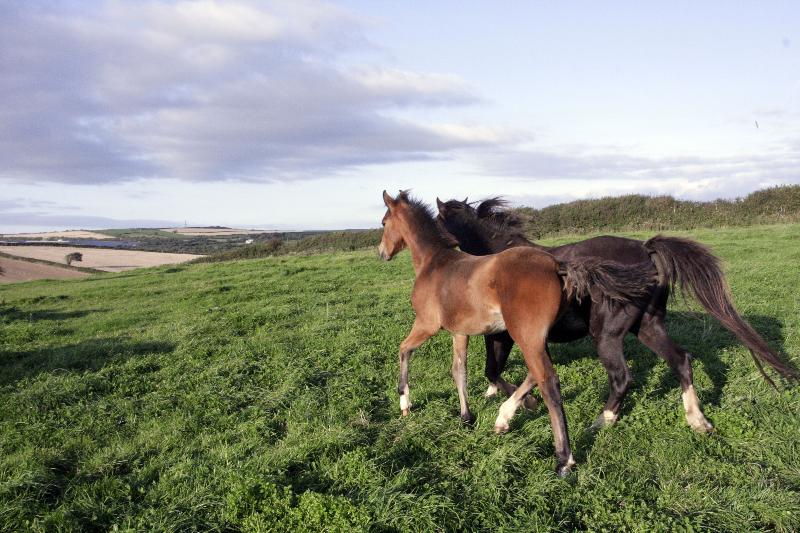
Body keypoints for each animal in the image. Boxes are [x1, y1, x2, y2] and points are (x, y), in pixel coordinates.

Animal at [378, 190, 652, 474]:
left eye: (383, 223)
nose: (382, 253)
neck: (433, 263)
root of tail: (558, 267)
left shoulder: (426, 324)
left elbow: (404, 350)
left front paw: (404, 402)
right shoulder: (460, 332)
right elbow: (459, 371)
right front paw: (467, 417)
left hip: (530, 335)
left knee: (549, 381)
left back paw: (563, 458)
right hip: (534, 337)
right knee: (537, 373)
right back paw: (510, 415)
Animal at [438, 197, 800, 430]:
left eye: (437, 220)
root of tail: (646, 250)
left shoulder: (503, 336)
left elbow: (495, 372)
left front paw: (511, 411)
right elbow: (498, 374)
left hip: (608, 336)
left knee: (623, 378)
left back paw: (602, 421)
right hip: (649, 327)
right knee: (681, 360)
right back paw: (697, 421)